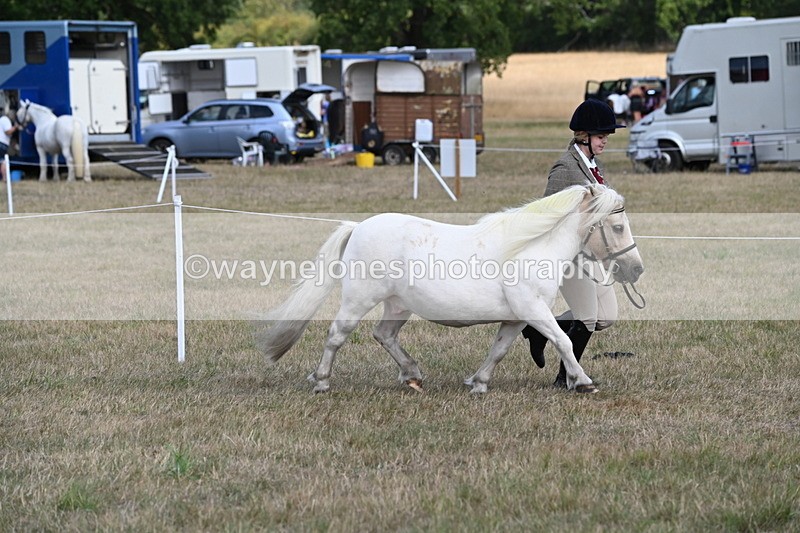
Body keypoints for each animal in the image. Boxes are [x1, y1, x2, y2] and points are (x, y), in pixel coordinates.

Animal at [256, 185, 644, 394]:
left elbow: (499, 350)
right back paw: (322, 381)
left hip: (398, 305)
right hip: (359, 300)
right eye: (618, 226)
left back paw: (412, 376)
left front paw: (478, 382)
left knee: (384, 335)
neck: (533, 247)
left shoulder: (517, 319)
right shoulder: (533, 311)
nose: (636, 269)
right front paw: (583, 382)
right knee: (337, 335)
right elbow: (563, 341)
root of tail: (359, 227)